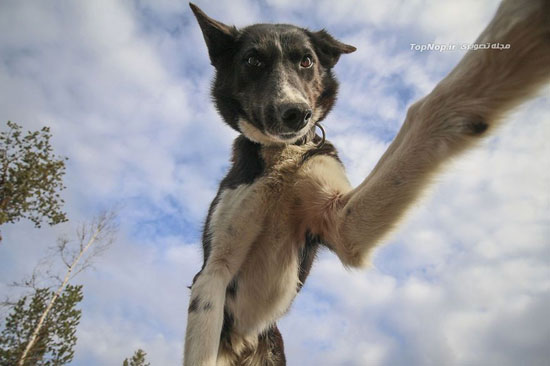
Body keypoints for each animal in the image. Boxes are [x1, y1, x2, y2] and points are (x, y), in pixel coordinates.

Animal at [185, 1, 550, 364]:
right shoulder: (213, 273)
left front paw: (518, 30)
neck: (283, 153)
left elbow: (422, 113)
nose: (295, 113)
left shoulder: (342, 225)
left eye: (306, 60)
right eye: (252, 60)